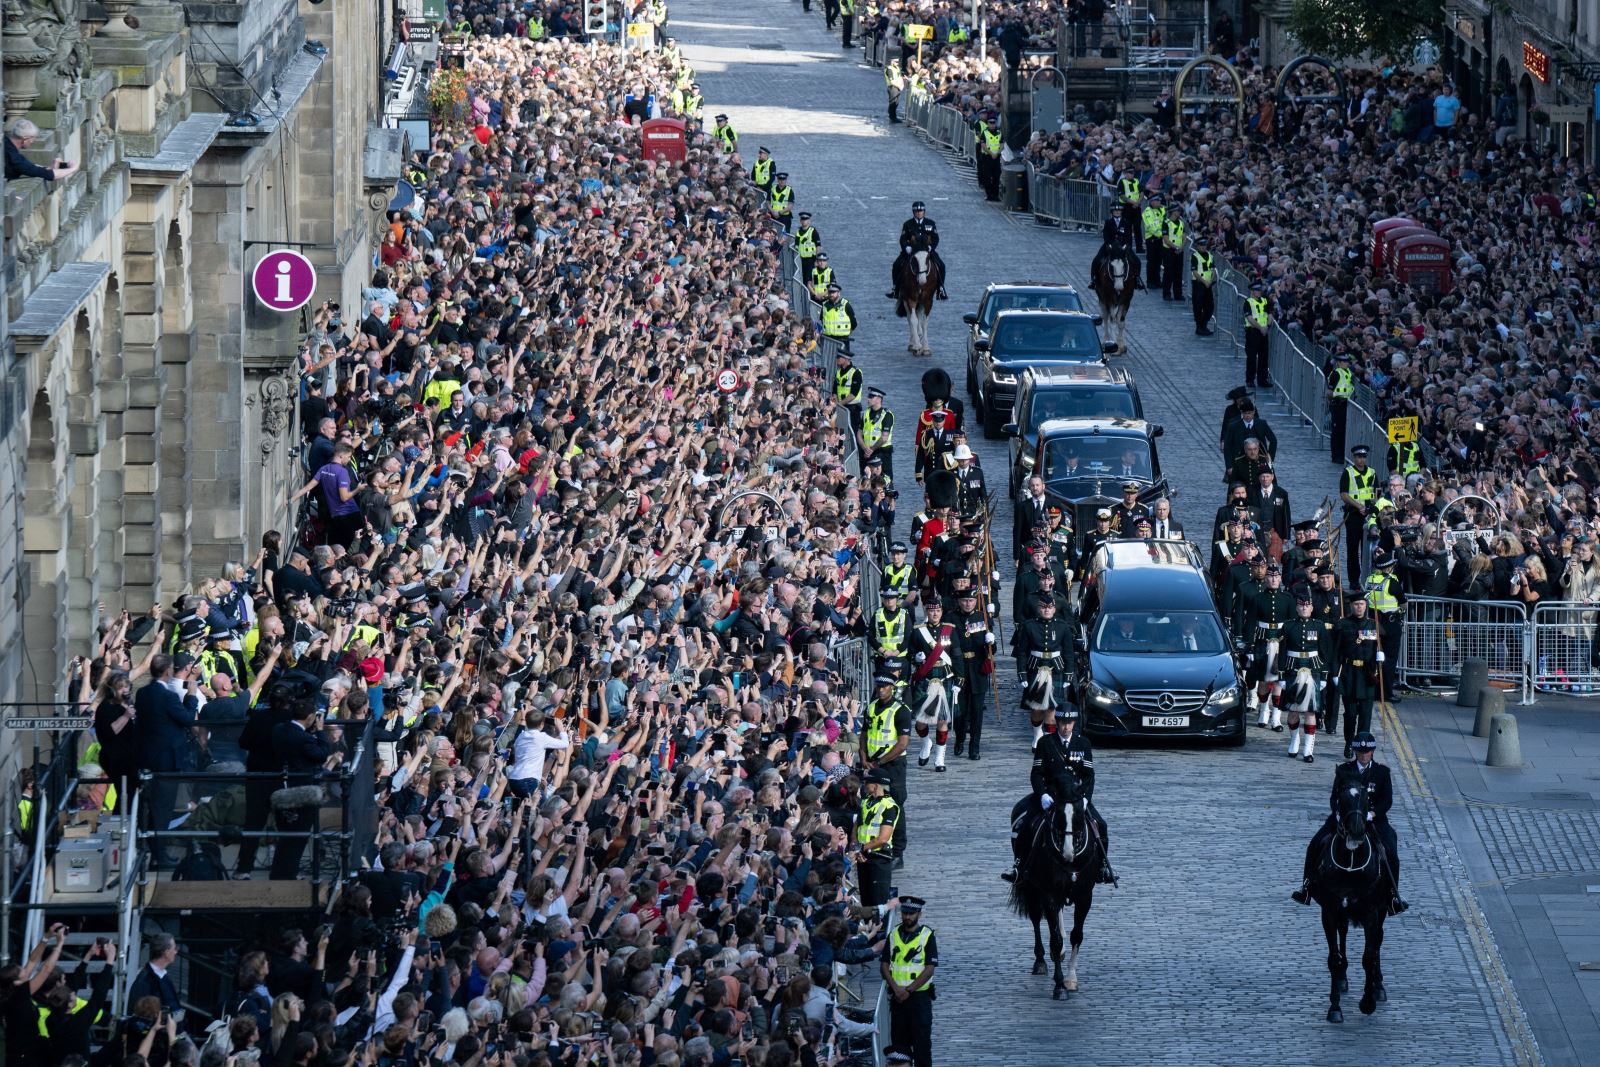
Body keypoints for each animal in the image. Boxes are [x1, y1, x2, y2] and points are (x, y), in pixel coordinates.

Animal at [1011, 790, 1100, 998]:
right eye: (1058, 815)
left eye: (1079, 816)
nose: (1068, 853)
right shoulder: (1048, 893)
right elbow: (1056, 939)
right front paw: (1060, 986)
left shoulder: (1085, 896)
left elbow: (1077, 935)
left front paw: (1071, 979)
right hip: (1031, 887)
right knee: (1036, 918)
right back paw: (1040, 961)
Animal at [1088, 220, 1139, 355]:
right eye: (1111, 266)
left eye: (1125, 265)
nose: (1119, 286)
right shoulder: (1108, 298)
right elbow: (1110, 319)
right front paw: (1112, 344)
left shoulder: (1126, 299)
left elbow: (1120, 321)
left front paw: (1121, 346)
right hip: (1102, 298)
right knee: (1105, 317)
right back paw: (1106, 339)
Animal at [1305, 771, 1395, 1023]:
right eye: (1342, 796)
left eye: (1366, 797)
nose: (1356, 831)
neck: (1351, 864)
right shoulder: (1329, 911)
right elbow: (1334, 959)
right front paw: (1335, 1007)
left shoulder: (1373, 913)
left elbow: (1369, 956)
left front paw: (1368, 1002)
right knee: (1343, 935)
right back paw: (1343, 980)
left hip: (1382, 909)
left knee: (1378, 942)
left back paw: (1378, 986)